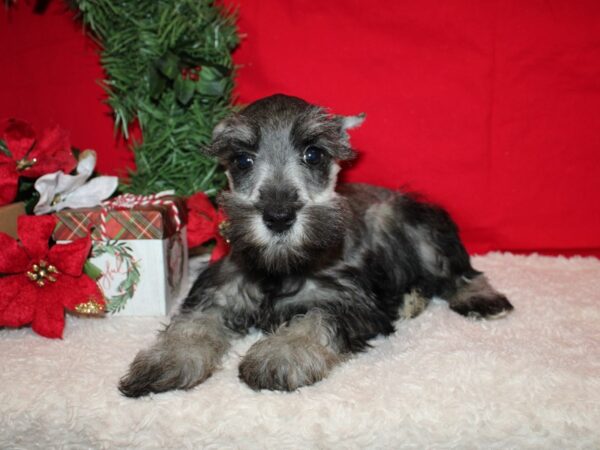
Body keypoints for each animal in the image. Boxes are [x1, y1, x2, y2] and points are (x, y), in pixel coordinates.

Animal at [119, 93, 512, 396]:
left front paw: (280, 355)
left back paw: (479, 298)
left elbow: (313, 319)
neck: (279, 267)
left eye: (314, 154)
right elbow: (191, 323)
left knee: (459, 272)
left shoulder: (346, 300)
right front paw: (166, 358)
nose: (278, 216)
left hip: (422, 229)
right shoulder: (216, 290)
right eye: (243, 159)